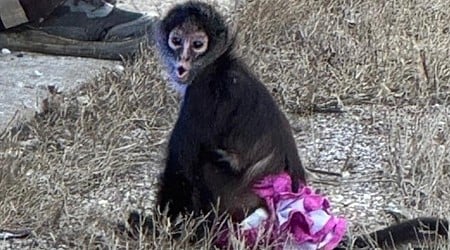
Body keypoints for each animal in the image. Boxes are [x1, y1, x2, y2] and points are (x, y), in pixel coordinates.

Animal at [125, 1, 446, 248]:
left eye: (198, 44)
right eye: (177, 41)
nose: (182, 64)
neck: (219, 64)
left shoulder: (201, 94)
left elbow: (180, 168)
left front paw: (156, 229)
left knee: (205, 161)